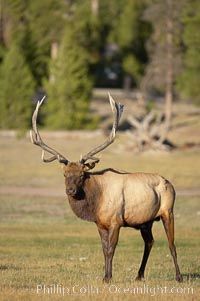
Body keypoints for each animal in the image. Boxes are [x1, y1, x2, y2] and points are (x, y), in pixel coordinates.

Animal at [30, 95, 183, 282]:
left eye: (82, 174)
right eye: (65, 174)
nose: (70, 190)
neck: (96, 202)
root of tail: (170, 184)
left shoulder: (116, 221)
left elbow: (111, 249)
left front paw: (108, 278)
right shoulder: (100, 223)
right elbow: (104, 249)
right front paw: (105, 275)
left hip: (168, 211)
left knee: (171, 244)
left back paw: (178, 276)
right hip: (146, 221)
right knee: (149, 242)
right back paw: (139, 275)